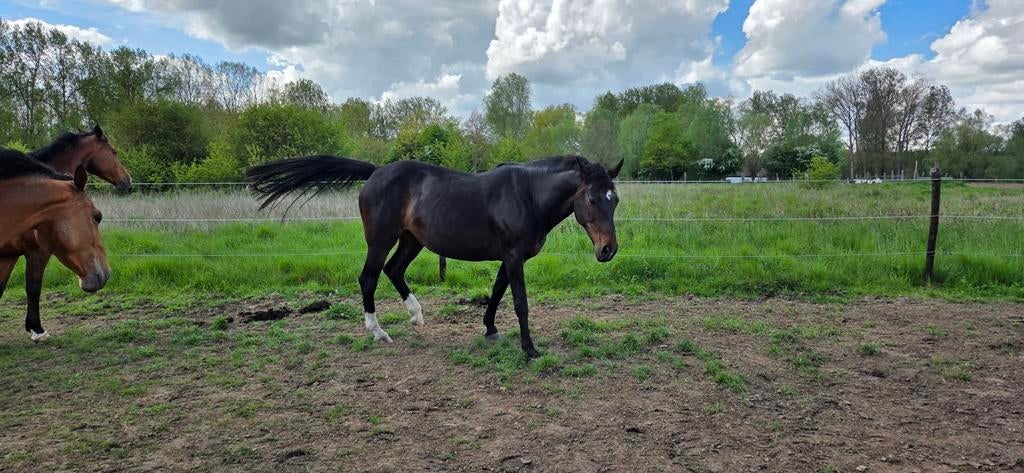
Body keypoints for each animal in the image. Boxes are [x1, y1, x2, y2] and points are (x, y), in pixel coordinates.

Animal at [0, 126, 128, 341]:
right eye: (114, 152)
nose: (128, 180)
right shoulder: (37, 252)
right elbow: (33, 287)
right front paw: (37, 329)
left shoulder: (9, 254)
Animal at [247, 154, 622, 358]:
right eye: (591, 199)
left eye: (614, 199)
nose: (608, 250)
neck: (527, 196)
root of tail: (376, 172)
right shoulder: (514, 258)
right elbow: (520, 304)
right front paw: (529, 350)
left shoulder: (509, 258)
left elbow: (496, 293)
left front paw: (490, 329)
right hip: (381, 240)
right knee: (369, 277)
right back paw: (378, 332)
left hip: (412, 241)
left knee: (394, 271)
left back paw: (416, 316)